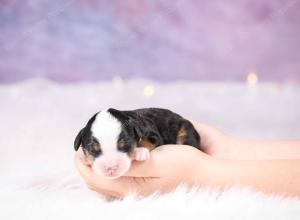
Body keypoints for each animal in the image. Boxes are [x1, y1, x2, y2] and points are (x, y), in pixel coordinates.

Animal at [74, 108, 202, 179]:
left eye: (124, 144)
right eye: (92, 149)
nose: (111, 168)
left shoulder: (153, 134)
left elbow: (147, 141)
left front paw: (140, 151)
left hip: (186, 130)